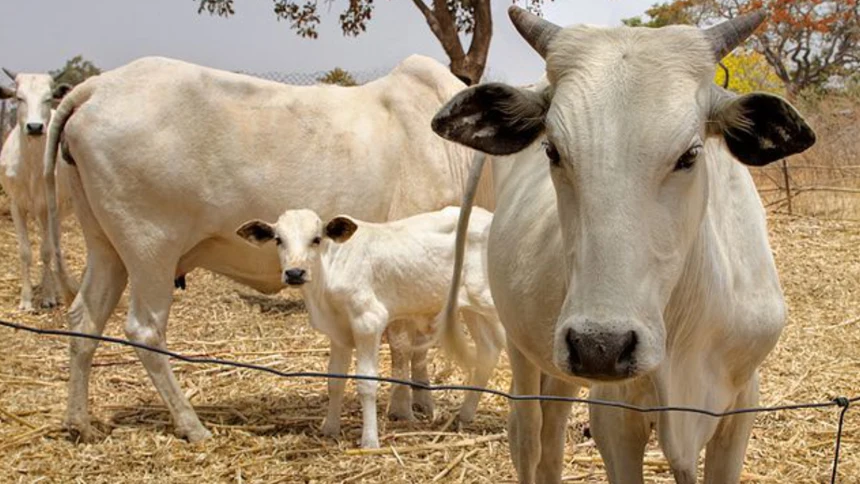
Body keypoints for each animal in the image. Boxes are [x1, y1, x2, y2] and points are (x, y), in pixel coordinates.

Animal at [0, 69, 73, 312]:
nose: (34, 127)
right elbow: (25, 252)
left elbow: (46, 251)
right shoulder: (16, 205)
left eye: (48, 98)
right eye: (19, 98)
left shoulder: (50, 207)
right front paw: (26, 300)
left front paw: (48, 296)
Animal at [236, 206, 504, 448]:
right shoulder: (339, 333)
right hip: (472, 309)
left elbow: (366, 383)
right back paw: (465, 415)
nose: (294, 273)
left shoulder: (368, 322)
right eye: (278, 240)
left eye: (316, 239)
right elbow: (335, 380)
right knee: (488, 351)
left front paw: (370, 440)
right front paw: (329, 428)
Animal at [431, 7, 815, 484]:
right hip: (523, 346)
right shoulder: (614, 415)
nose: (601, 346)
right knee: (527, 434)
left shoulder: (740, 403)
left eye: (690, 155)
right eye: (552, 150)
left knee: (552, 435)